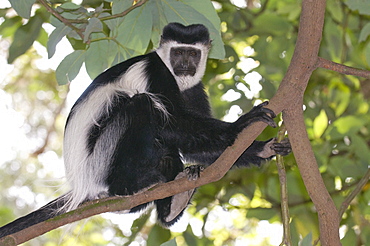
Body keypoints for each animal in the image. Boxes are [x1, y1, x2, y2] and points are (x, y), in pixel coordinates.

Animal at [0, 23, 290, 238]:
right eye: (178, 53)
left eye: (193, 53)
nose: (185, 65)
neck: (176, 77)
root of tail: (82, 184)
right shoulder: (156, 73)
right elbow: (173, 124)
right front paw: (243, 123)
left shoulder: (195, 88)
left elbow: (195, 144)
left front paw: (264, 149)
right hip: (101, 160)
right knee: (141, 105)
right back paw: (130, 186)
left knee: (168, 152)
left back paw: (172, 201)